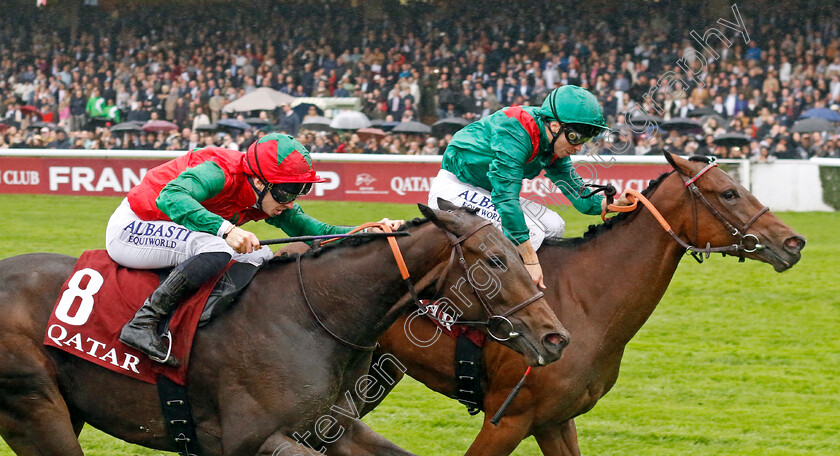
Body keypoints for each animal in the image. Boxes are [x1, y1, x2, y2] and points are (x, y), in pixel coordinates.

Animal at [0, 205, 572, 454]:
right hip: (35, 409)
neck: (312, 316)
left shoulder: (331, 428)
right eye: (495, 261)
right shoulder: (251, 442)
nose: (556, 338)